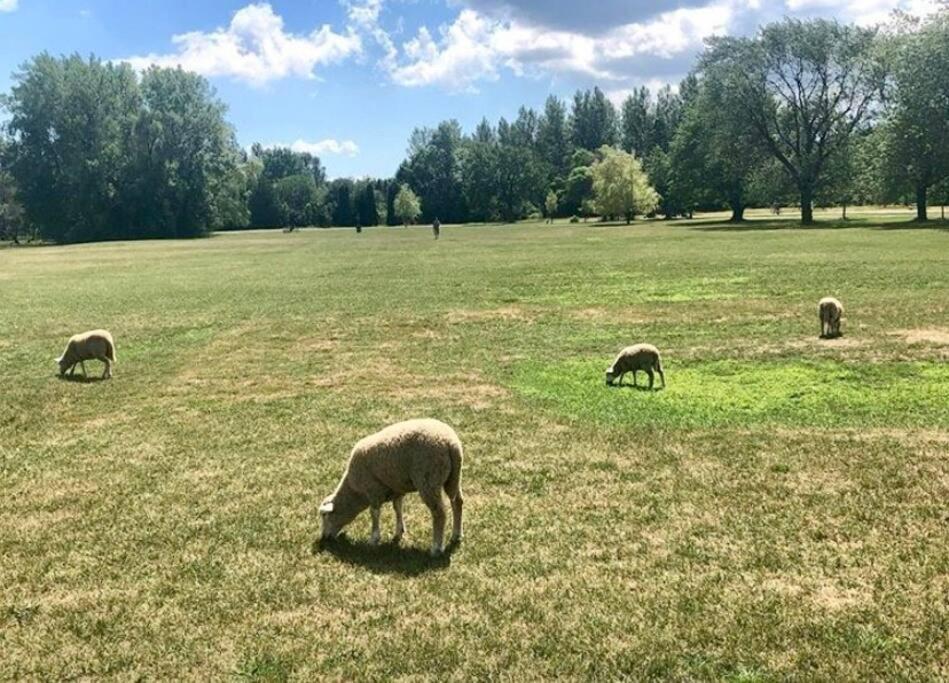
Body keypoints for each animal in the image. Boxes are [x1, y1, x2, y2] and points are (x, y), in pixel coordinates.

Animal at [320, 420, 464, 560]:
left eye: (325, 516)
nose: (324, 538)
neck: (355, 491)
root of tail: (450, 443)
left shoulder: (372, 490)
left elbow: (374, 513)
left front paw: (373, 539)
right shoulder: (397, 488)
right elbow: (397, 507)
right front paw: (399, 532)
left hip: (428, 479)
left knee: (439, 513)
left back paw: (436, 548)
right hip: (453, 477)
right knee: (457, 502)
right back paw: (456, 534)